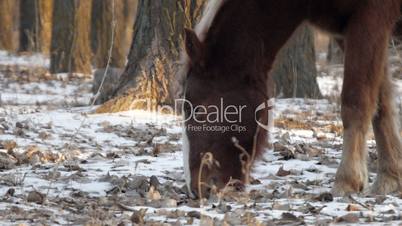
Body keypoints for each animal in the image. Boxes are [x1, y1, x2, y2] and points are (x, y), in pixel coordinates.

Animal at [181, 0, 402, 198]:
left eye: (197, 109)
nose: (197, 188)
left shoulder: (369, 20)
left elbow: (355, 101)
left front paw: (347, 181)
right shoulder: (347, 31)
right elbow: (381, 105)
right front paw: (390, 177)